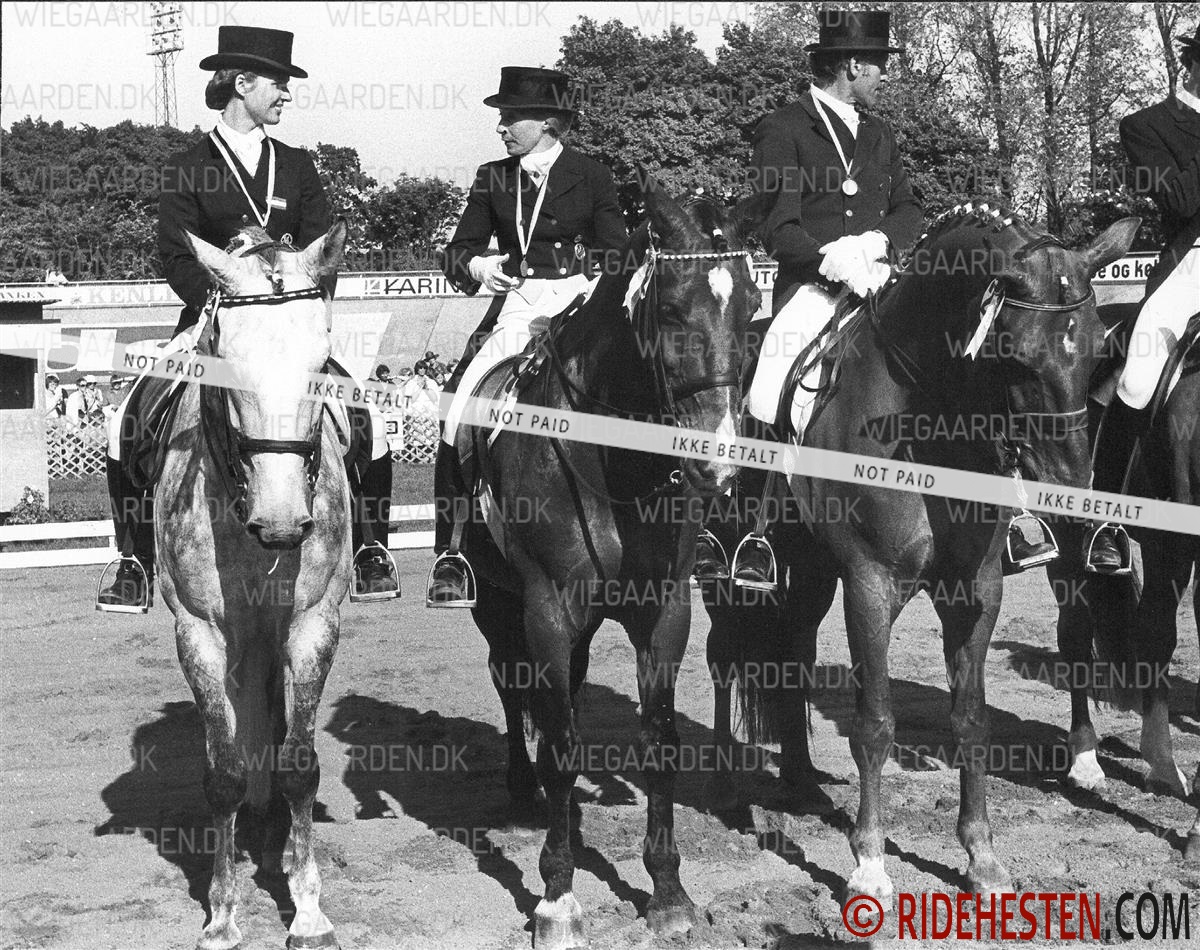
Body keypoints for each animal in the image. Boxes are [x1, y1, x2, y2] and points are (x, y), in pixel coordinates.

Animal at [155, 222, 351, 950]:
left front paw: (309, 908)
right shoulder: (200, 633)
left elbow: (300, 763)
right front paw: (221, 912)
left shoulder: (313, 622)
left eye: (322, 361)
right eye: (226, 365)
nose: (283, 520)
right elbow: (225, 772)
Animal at [456, 179, 764, 948]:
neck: (611, 458)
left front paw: (669, 892)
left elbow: (660, 739)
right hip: (497, 603)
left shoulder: (664, 611)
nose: (719, 461)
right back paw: (524, 790)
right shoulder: (546, 607)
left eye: (752, 307)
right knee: (511, 684)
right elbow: (563, 740)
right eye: (672, 309)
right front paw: (557, 897)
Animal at [701, 205, 1139, 902]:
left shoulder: (976, 587)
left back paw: (800, 780)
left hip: (810, 571)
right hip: (726, 571)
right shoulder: (870, 584)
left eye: (1101, 349)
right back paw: (722, 785)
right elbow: (876, 723)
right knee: (723, 657)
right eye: (1014, 354)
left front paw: (982, 858)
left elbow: (971, 719)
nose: (1070, 491)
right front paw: (869, 863)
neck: (930, 417)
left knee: (794, 653)